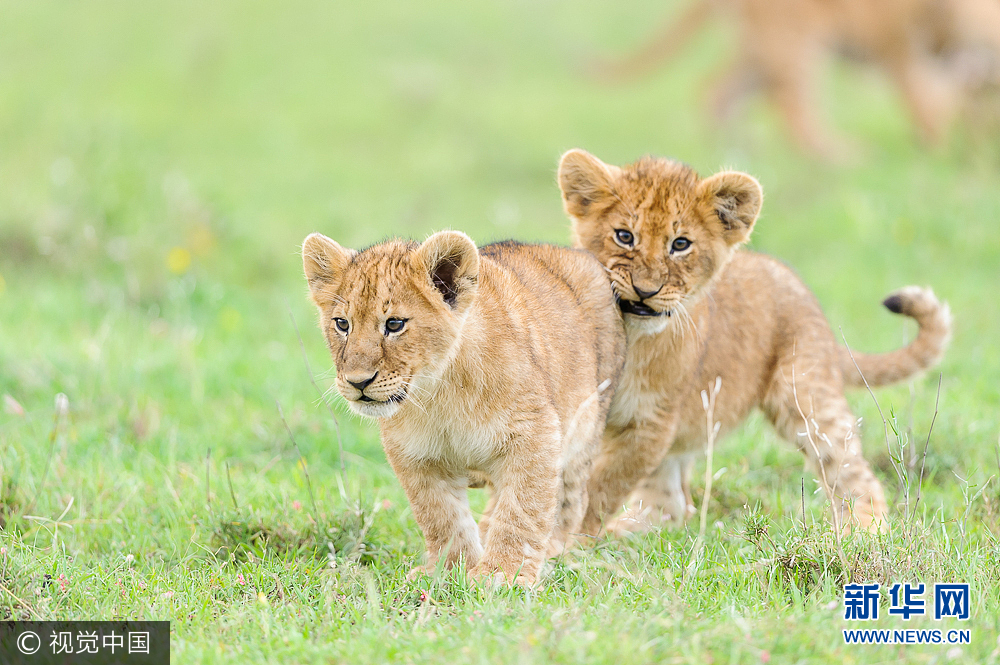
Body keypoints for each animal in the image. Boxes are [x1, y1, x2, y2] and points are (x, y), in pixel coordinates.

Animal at [596, 0, 1000, 157]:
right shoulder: (899, 49)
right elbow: (924, 104)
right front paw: (937, 152)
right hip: (793, 42)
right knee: (793, 110)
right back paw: (840, 155)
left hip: (759, 52)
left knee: (714, 89)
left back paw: (734, 150)